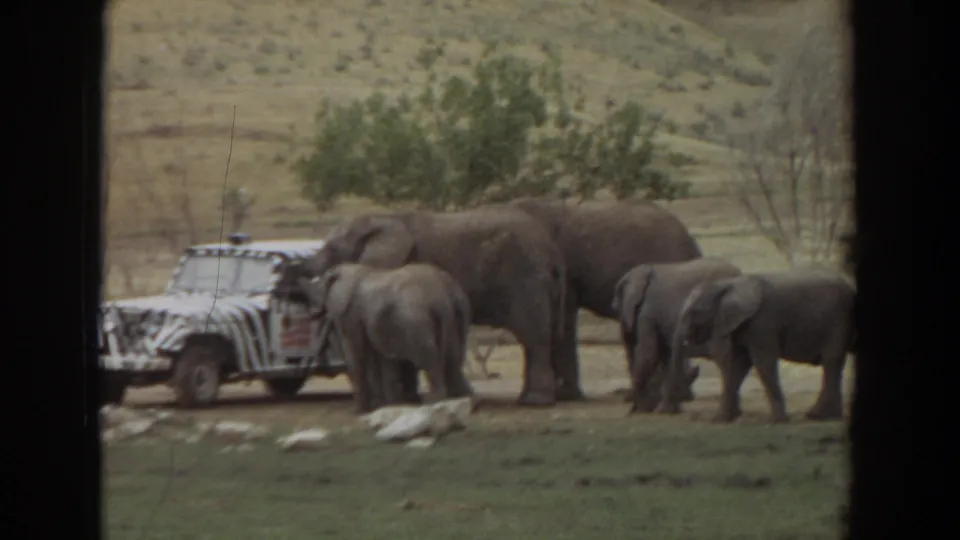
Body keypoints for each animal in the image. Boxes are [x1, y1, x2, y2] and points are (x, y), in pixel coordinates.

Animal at [298, 262, 475, 413]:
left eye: (319, 290)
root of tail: (442, 295)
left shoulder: (351, 314)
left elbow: (357, 353)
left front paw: (361, 411)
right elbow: (378, 357)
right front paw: (384, 406)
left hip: (416, 320)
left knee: (429, 359)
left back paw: (433, 401)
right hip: (458, 313)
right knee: (454, 358)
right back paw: (467, 399)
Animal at [611, 257, 744, 413]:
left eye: (617, 307)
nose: (630, 407)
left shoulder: (648, 312)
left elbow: (649, 354)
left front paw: (642, 409)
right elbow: (666, 356)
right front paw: (666, 411)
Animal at [663, 269, 857, 423]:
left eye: (694, 313)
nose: (670, 411)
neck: (729, 284)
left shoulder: (762, 321)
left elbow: (762, 362)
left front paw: (778, 421)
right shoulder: (741, 325)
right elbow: (738, 365)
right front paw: (720, 420)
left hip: (838, 321)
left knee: (831, 361)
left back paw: (818, 416)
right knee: (834, 364)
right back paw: (826, 416)